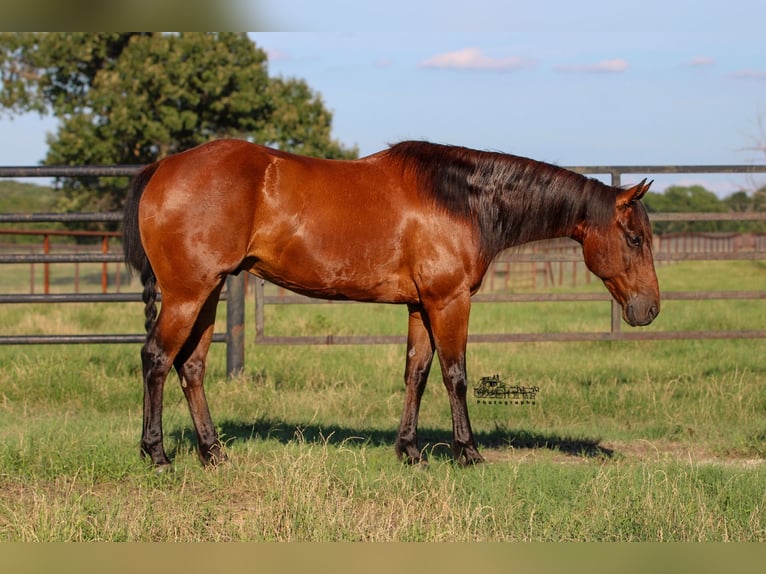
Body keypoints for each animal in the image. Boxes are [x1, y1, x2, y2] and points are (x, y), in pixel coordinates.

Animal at [123, 138, 664, 468]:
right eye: (635, 238)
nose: (650, 309)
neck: (462, 201)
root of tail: (163, 166)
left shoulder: (421, 306)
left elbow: (416, 373)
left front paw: (409, 450)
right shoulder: (449, 302)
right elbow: (455, 374)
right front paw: (468, 452)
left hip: (208, 292)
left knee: (190, 366)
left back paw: (213, 452)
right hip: (187, 294)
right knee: (157, 358)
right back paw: (157, 454)